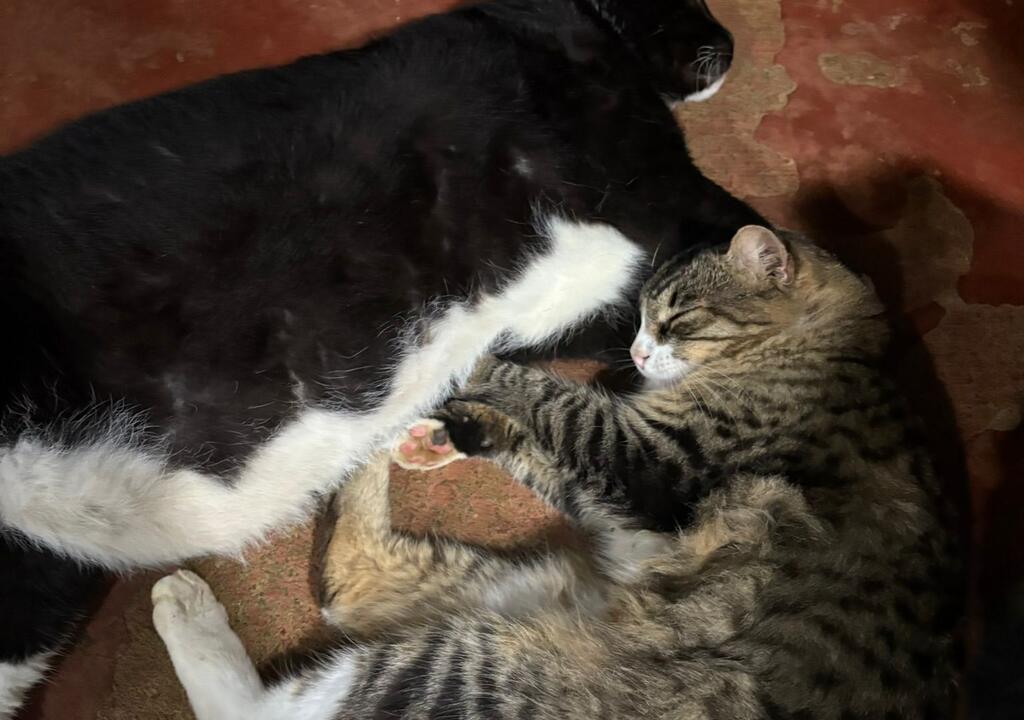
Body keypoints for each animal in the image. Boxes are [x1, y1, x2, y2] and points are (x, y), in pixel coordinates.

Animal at [152, 225, 962, 719]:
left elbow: (549, 397)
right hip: (495, 590)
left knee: (278, 684)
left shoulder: (653, 459)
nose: (634, 353)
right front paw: (454, 431)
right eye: (637, 321)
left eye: (673, 321)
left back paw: (187, 603)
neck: (837, 345)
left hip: (475, 659)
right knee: (352, 580)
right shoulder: (627, 498)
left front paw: (462, 354)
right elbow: (542, 448)